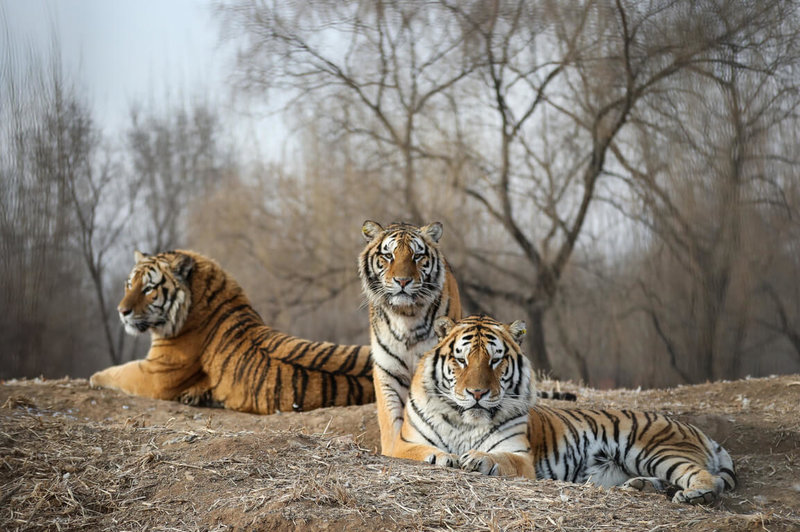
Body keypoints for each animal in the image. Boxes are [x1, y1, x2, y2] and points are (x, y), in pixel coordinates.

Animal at [89, 247, 376, 414]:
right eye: (129, 284)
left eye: (148, 289)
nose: (121, 311)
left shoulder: (156, 374)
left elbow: (118, 373)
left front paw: (94, 377)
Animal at [394, 316, 736, 508]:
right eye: (461, 359)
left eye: (495, 360)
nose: (477, 393)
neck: (465, 421)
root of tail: (698, 431)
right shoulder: (403, 444)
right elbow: (420, 451)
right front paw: (443, 457)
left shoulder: (519, 456)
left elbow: (499, 457)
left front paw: (477, 458)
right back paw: (640, 486)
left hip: (655, 450)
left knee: (706, 477)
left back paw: (694, 496)